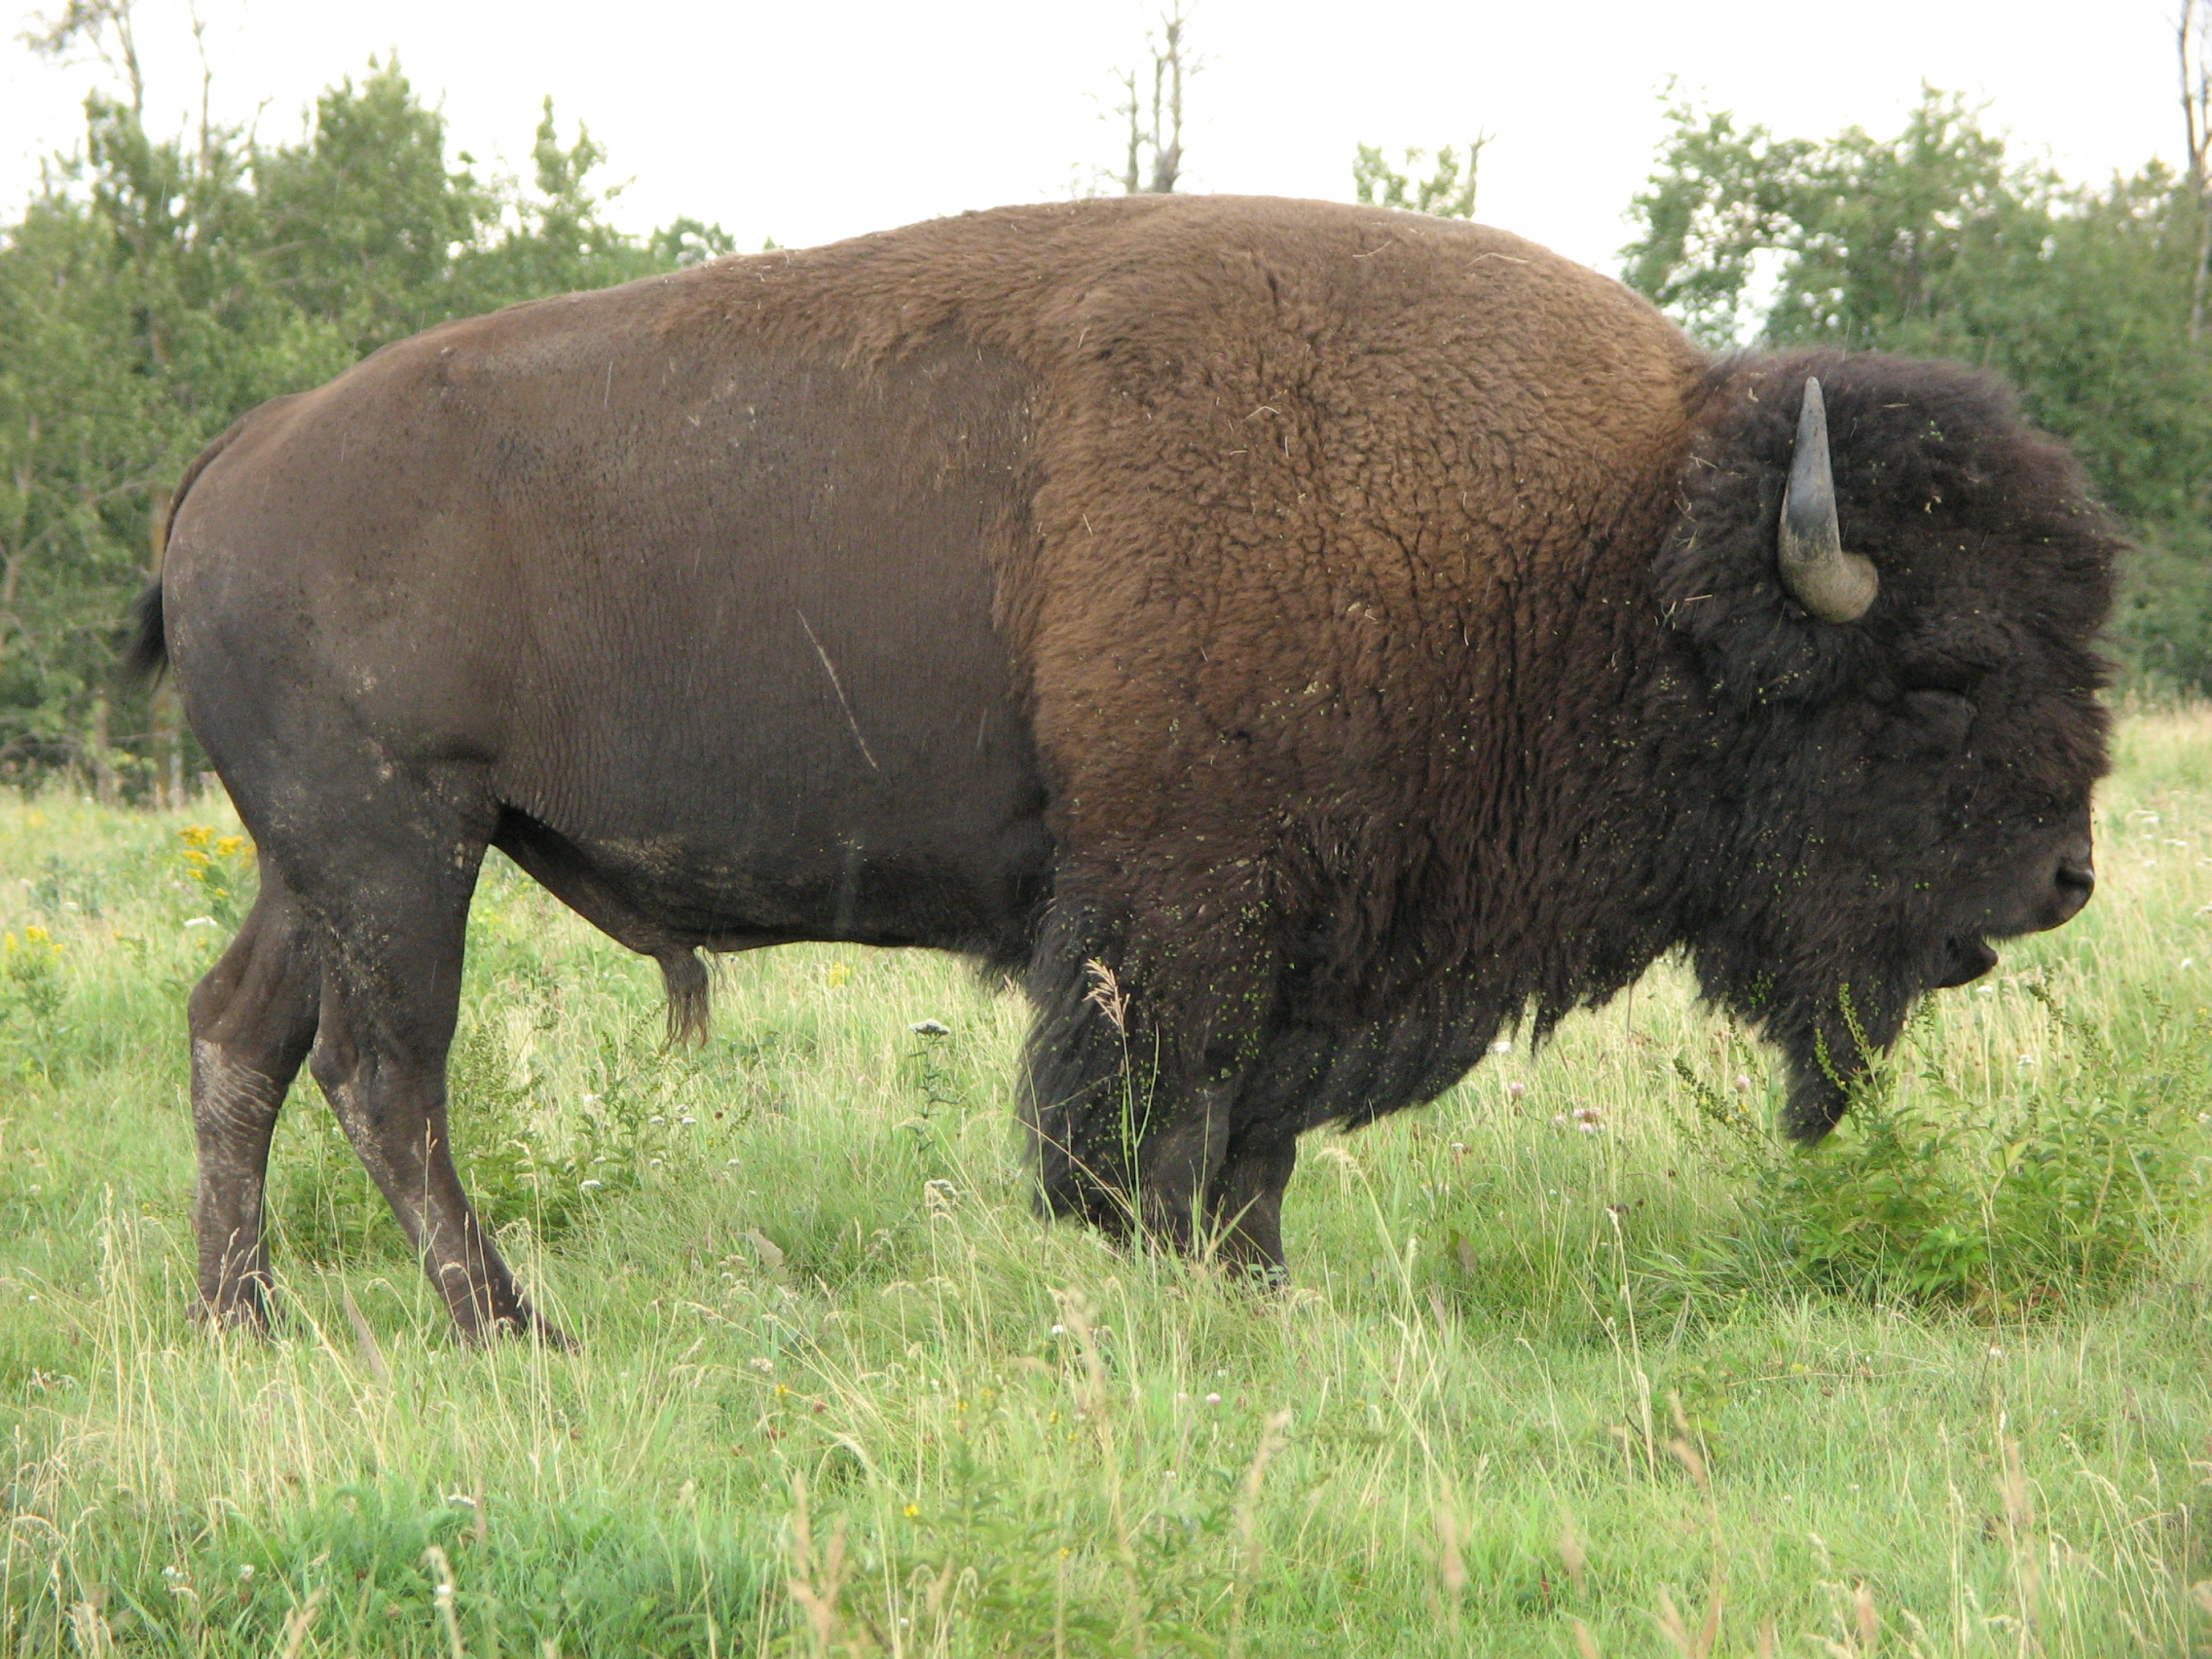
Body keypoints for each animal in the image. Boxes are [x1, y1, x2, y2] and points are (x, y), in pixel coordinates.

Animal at [133, 194, 2105, 1345]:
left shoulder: (1315, 942)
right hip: (404, 842)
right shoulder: (1186, 913)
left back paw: (245, 1322)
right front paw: (1190, 1287)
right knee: (384, 1076)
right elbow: (1152, 1132)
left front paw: (1264, 1294)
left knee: (243, 1037)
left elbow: (1253, 1146)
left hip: (331, 862)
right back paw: (509, 1326)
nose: (2063, 879)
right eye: (1939, 680)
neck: (1601, 552)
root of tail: (241, 452)